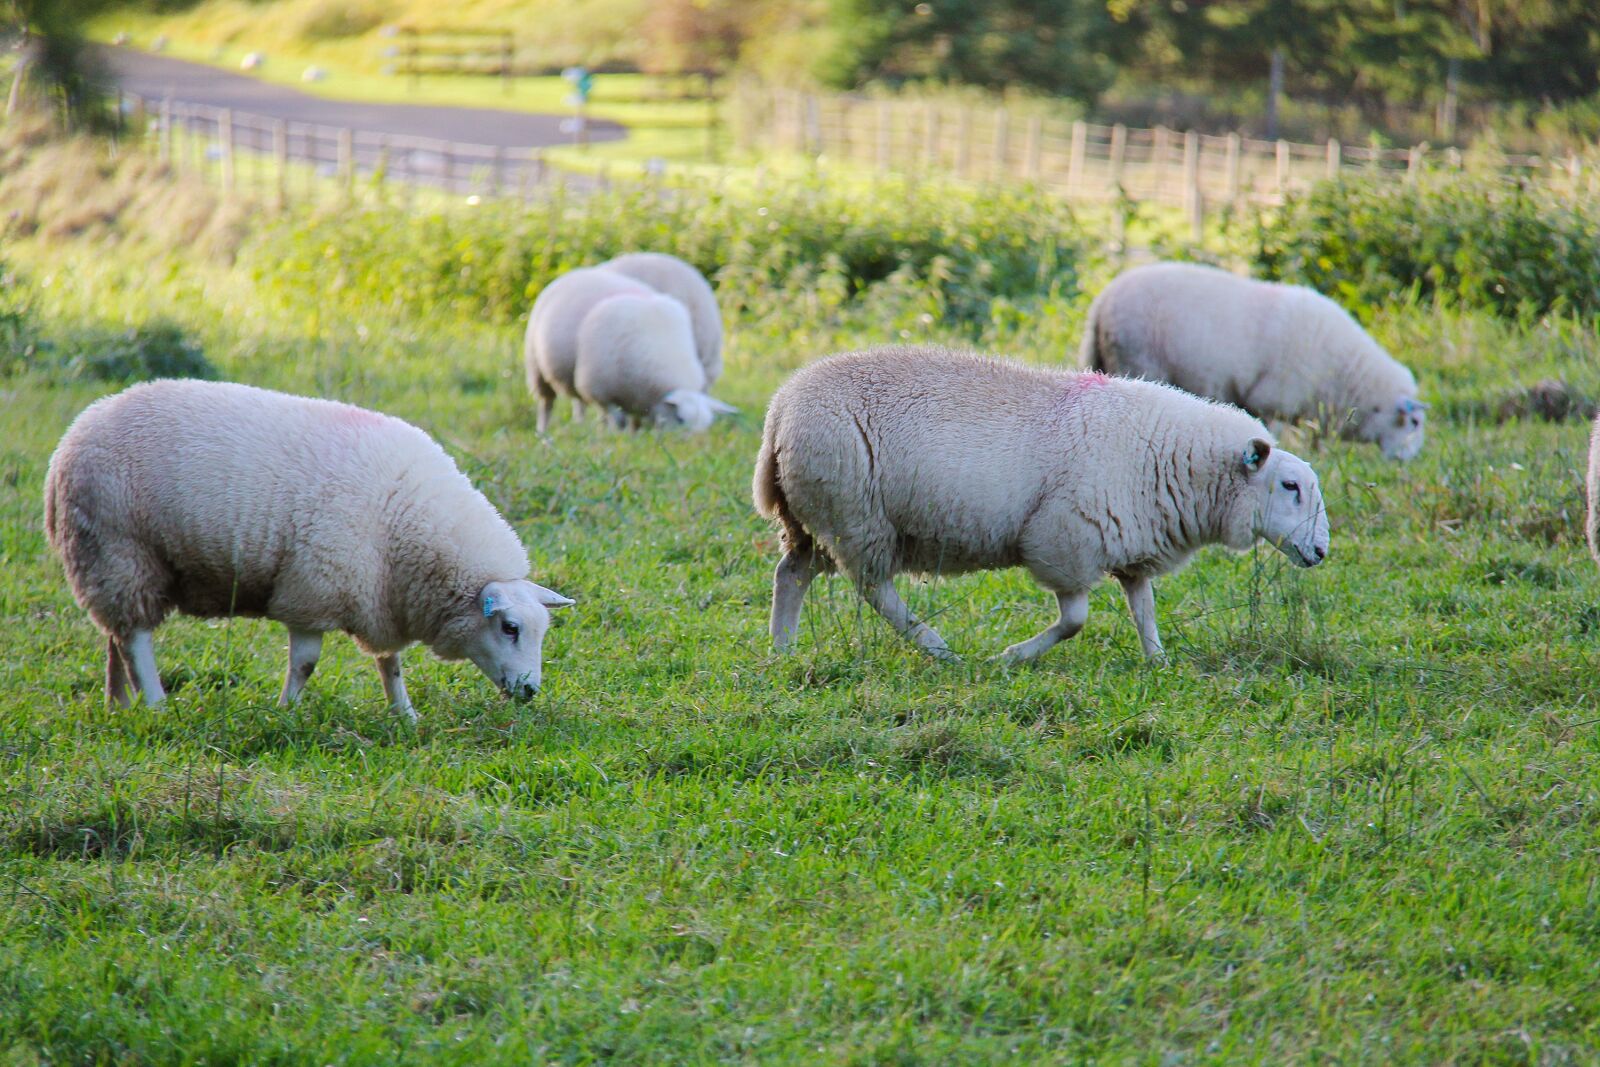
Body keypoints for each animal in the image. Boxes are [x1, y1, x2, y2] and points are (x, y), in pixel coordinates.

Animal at [43, 379, 576, 723]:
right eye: (509, 628)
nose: (530, 692)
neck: (406, 519)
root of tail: (77, 431)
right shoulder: (312, 588)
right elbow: (305, 663)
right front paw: (287, 712)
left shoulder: (381, 594)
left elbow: (390, 663)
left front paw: (405, 714)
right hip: (120, 548)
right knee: (135, 638)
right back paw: (154, 703)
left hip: (109, 561)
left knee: (115, 636)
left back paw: (119, 703)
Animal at [521, 265, 652, 428]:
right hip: (539, 370)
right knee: (546, 404)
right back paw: (543, 430)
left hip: (574, 372)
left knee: (579, 402)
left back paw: (581, 425)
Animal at [755, 343, 1331, 659]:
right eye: (1290, 487)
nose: (1322, 553)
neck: (1173, 457)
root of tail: (781, 407)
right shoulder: (1063, 541)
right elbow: (1074, 621)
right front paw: (1012, 657)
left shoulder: (1131, 548)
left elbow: (1144, 611)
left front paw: (1158, 662)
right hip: (857, 517)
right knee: (876, 590)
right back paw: (937, 647)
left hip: (815, 518)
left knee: (792, 573)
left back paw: (783, 650)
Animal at [1075, 263, 1427, 463]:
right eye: (1413, 422)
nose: (1409, 461)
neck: (1347, 378)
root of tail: (1102, 302)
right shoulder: (1275, 402)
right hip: (1139, 361)